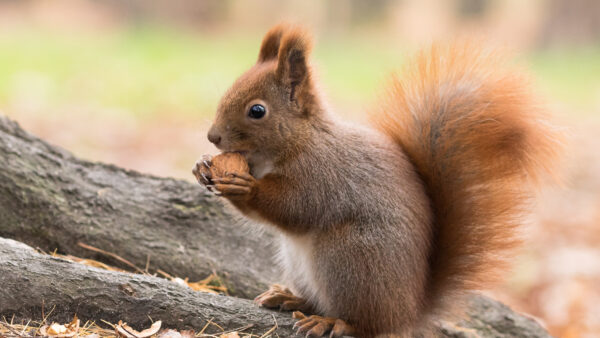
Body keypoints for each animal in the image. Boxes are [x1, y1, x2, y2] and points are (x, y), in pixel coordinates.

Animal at [192, 24, 556, 338]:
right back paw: (292, 298)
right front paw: (201, 167)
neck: (300, 140)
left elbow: (295, 208)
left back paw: (332, 322)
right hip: (301, 262)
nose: (212, 136)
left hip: (349, 259)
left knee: (367, 324)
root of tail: (409, 312)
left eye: (257, 111)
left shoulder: (321, 174)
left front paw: (245, 188)